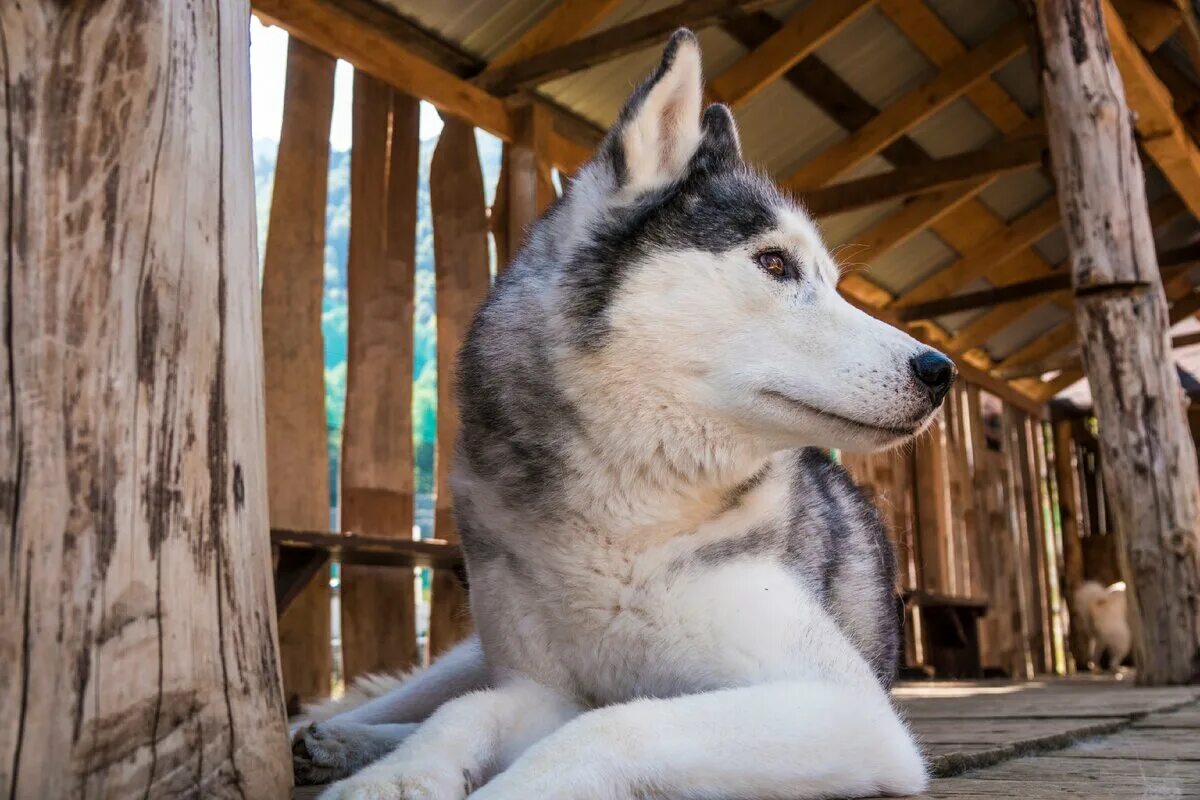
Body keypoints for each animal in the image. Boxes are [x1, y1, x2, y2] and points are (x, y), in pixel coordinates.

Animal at [300, 31, 955, 800]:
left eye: (829, 280)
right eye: (774, 263)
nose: (939, 371)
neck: (628, 516)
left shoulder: (848, 709)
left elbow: (613, 722)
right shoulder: (542, 688)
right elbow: (472, 711)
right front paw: (398, 774)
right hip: (473, 648)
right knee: (428, 694)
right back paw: (339, 737)